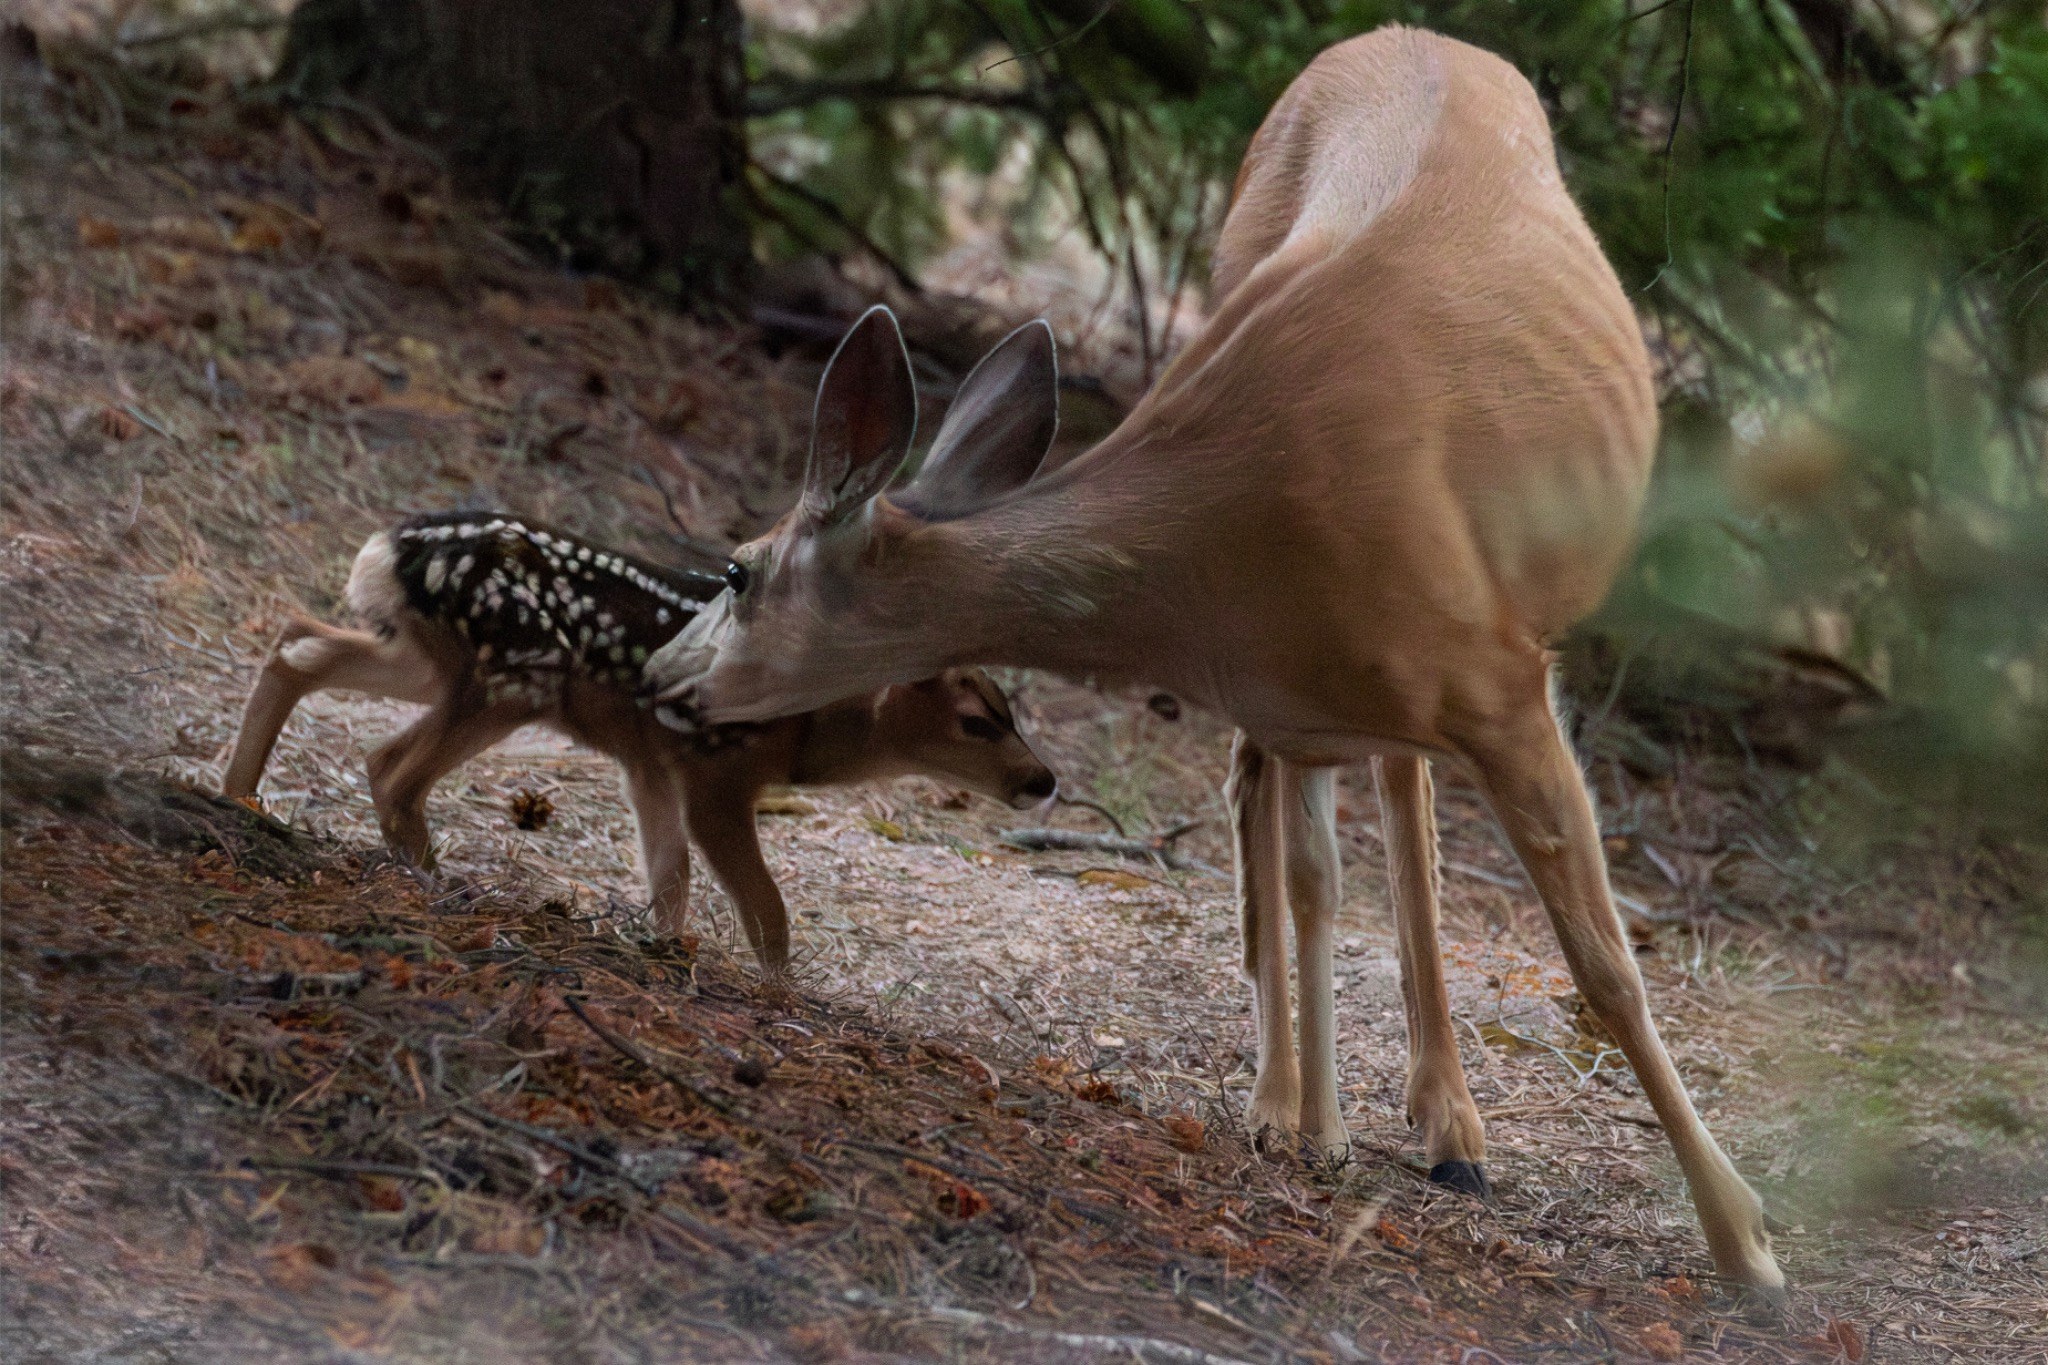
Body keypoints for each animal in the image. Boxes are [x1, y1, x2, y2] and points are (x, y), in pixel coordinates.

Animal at [220, 512, 1056, 972]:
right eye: (976, 719)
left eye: (1013, 711)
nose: (1043, 780)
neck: (809, 728)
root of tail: (389, 546)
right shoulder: (716, 772)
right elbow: (766, 908)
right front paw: (778, 993)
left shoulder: (647, 759)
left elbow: (669, 875)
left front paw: (660, 947)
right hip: (517, 672)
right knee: (389, 767)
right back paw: (441, 885)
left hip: (432, 655)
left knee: (298, 644)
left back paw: (242, 795)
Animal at [643, 26, 1786, 1297]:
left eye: (736, 570)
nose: (656, 676)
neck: (1217, 539)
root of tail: (1414, 35)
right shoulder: (1294, 692)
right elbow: (1310, 878)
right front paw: (1311, 1128)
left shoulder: (1496, 680)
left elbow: (1604, 965)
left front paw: (1745, 1247)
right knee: (1304, 819)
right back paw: (1330, 1109)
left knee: (1393, 809)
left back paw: (1445, 1124)